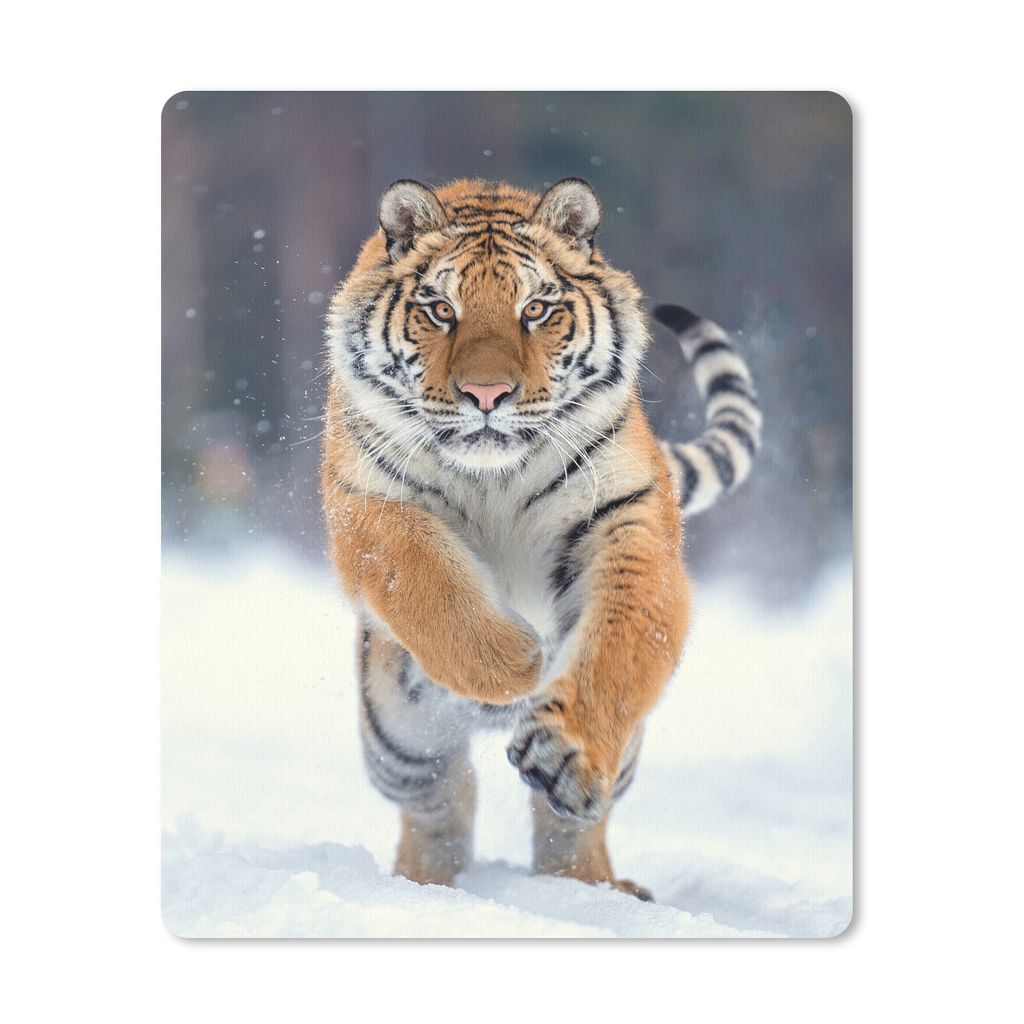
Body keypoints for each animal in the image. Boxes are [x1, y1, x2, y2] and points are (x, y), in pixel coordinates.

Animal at [321, 177, 761, 901]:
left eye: (535, 309)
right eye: (440, 309)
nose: (487, 394)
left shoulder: (626, 517)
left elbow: (622, 643)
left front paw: (564, 749)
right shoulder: (368, 503)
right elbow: (425, 581)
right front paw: (515, 661)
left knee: (569, 825)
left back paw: (593, 888)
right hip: (398, 738)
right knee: (442, 801)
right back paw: (423, 886)